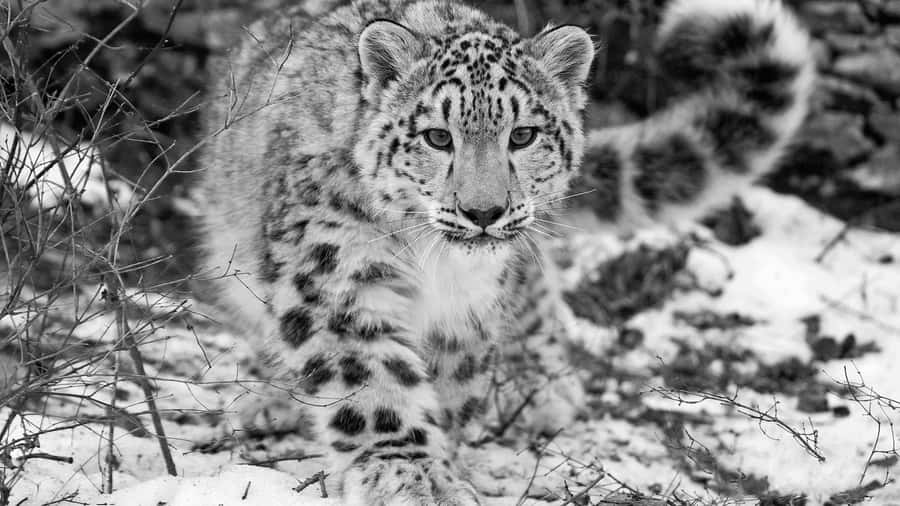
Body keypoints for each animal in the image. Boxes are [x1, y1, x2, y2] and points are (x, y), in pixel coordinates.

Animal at [198, 0, 814, 503]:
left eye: (522, 135)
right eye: (437, 136)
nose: (484, 211)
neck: (436, 266)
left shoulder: (467, 310)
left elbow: (451, 386)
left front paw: (444, 462)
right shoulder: (339, 275)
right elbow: (372, 381)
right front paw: (412, 476)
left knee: (536, 294)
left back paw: (541, 387)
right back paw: (271, 402)